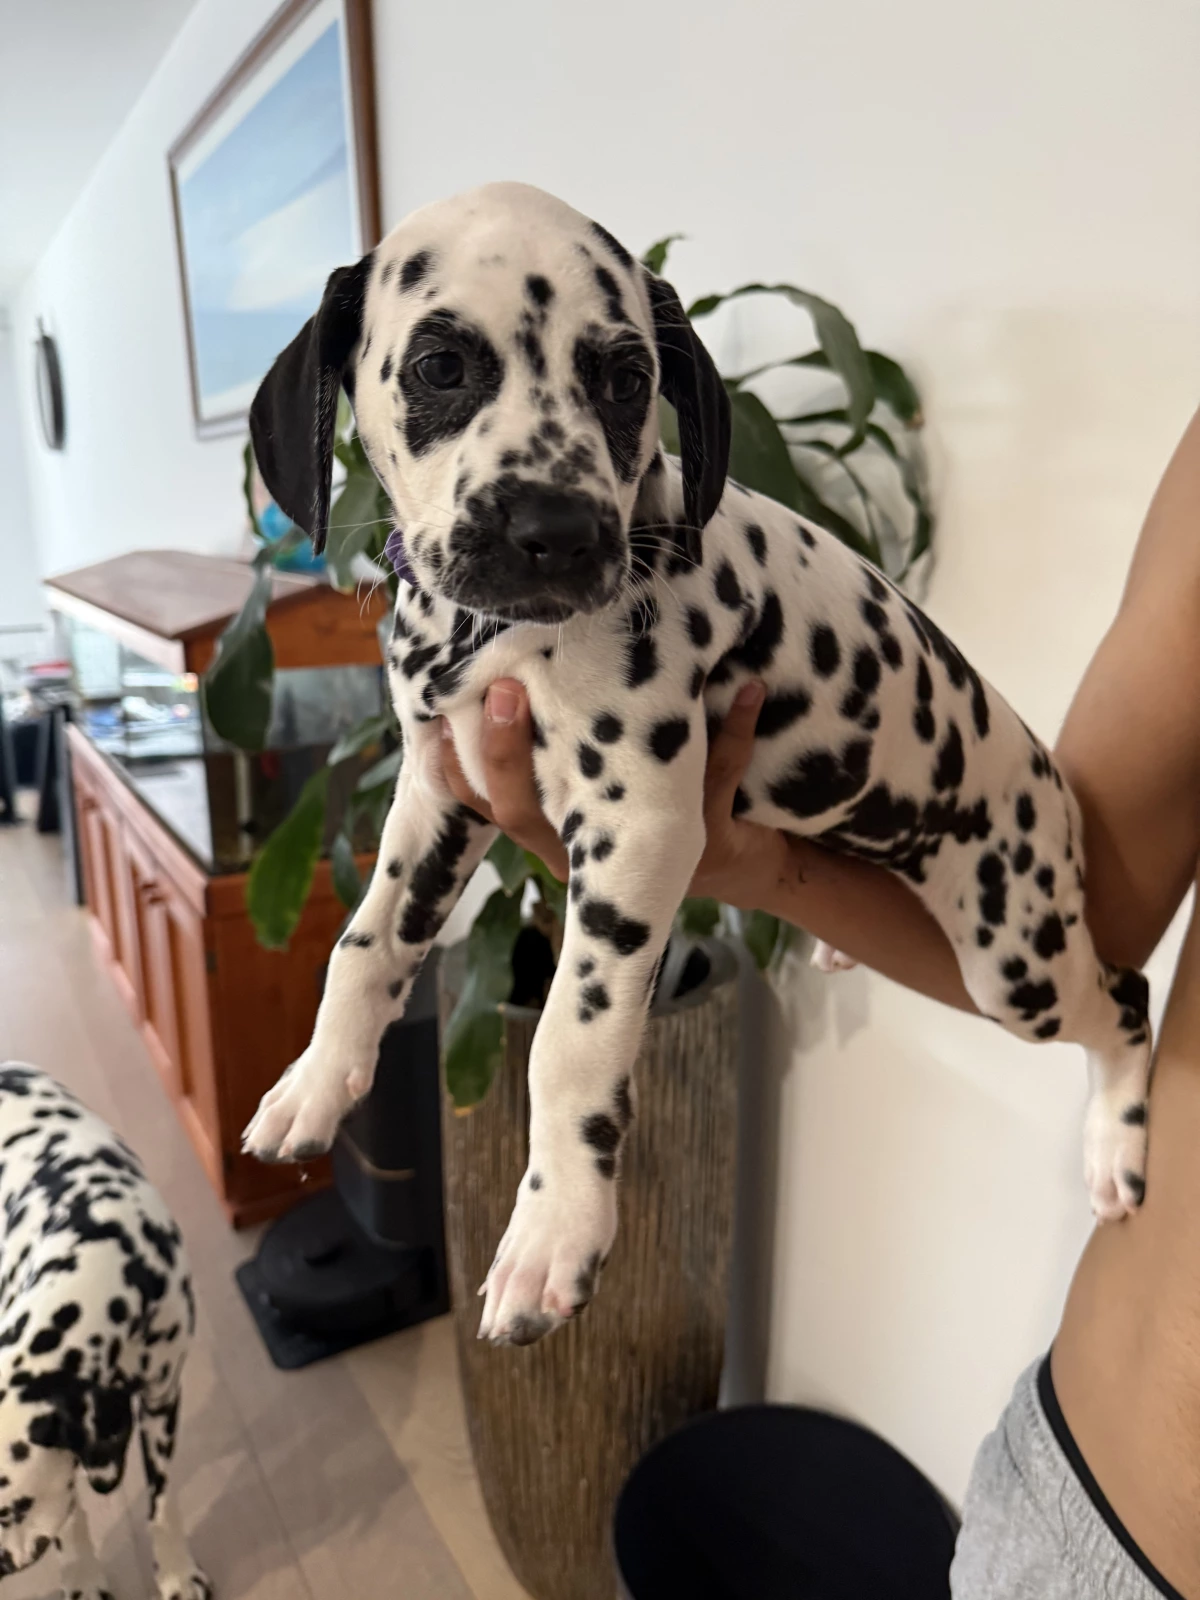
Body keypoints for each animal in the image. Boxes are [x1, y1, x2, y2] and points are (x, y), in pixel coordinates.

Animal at [0, 1065, 210, 1599]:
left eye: (13, 1508)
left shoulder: (161, 1400)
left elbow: (162, 1506)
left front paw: (177, 1575)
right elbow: (69, 1519)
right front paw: (83, 1578)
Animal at [242, 182, 1152, 1347]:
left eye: (628, 380)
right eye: (442, 365)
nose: (557, 531)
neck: (487, 638)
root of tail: (1049, 782)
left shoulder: (637, 830)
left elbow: (568, 1041)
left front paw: (553, 1233)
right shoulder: (436, 793)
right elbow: (362, 948)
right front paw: (315, 1082)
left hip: (1017, 958)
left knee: (1124, 998)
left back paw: (1118, 1146)